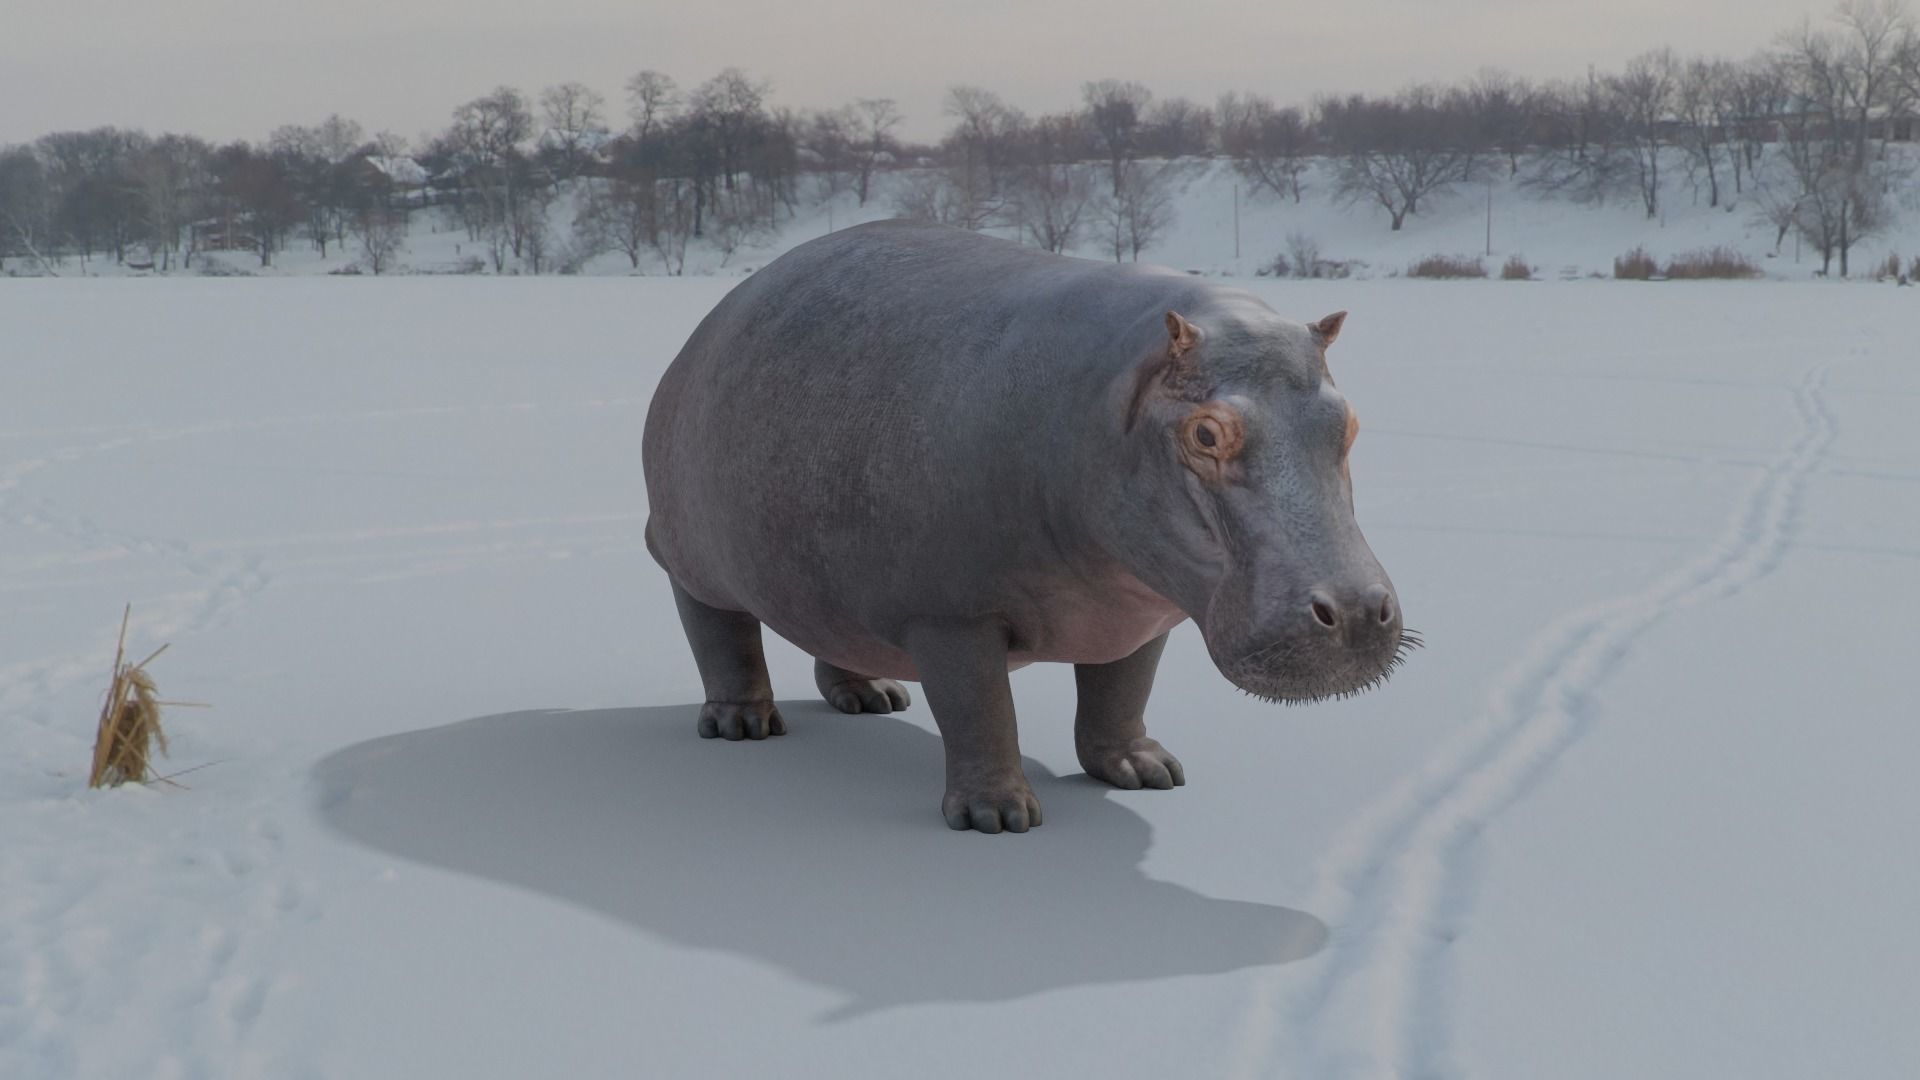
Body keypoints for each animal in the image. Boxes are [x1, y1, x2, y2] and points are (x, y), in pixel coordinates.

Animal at [643, 221, 1410, 833]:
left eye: (1348, 420)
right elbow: (980, 708)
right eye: (1206, 432)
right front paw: (998, 817)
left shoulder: (1138, 610)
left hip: (832, 578)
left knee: (834, 630)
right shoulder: (949, 614)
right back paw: (743, 726)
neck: (1109, 400)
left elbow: (1121, 692)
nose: (1354, 612)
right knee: (719, 633)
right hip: (691, 555)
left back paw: (872, 698)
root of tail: (712, 320)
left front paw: (1146, 771)